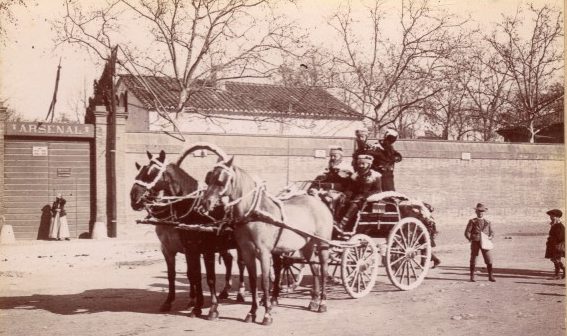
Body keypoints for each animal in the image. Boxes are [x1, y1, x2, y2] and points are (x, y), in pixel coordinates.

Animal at [131, 149, 246, 318]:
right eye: (140, 171)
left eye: (151, 173)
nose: (133, 197)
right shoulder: (184, 249)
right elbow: (189, 275)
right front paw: (194, 305)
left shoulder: (206, 250)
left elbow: (209, 278)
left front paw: (212, 308)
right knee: (229, 260)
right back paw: (225, 291)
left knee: (242, 264)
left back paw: (242, 293)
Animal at [200, 153, 332, 326]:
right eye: (208, 179)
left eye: (221, 180)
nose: (205, 203)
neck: (254, 214)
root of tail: (320, 202)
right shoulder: (247, 252)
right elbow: (254, 281)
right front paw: (252, 312)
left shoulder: (264, 253)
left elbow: (264, 281)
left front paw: (267, 314)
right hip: (307, 245)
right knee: (315, 270)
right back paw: (314, 301)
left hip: (323, 245)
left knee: (323, 270)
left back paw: (322, 303)